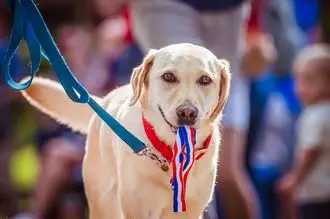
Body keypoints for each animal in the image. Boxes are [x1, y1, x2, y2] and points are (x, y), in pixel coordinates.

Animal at [21, 43, 231, 219]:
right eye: (169, 77)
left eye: (205, 80)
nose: (187, 112)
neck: (170, 154)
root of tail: (105, 100)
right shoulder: (139, 208)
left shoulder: (189, 211)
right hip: (104, 205)